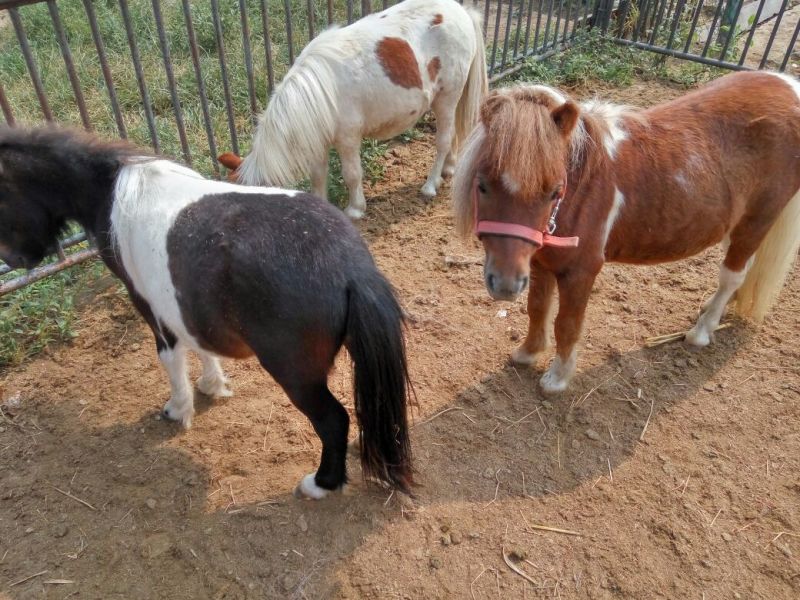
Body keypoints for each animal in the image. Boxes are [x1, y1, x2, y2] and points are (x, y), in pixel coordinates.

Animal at [0, 126, 413, 498]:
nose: (15, 262)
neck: (114, 193)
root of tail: (348, 267)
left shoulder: (150, 307)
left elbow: (170, 358)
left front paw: (178, 409)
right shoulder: (188, 306)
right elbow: (201, 344)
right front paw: (213, 385)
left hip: (296, 375)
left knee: (333, 421)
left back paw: (320, 485)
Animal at [217, 0, 487, 219]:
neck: (319, 91)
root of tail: (461, 11)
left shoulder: (347, 138)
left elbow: (352, 174)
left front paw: (356, 209)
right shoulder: (319, 140)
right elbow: (318, 176)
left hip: (446, 98)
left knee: (443, 140)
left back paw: (431, 185)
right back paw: (449, 168)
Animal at [453, 71, 800, 394]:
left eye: (554, 192)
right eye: (482, 185)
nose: (505, 285)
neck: (582, 186)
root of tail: (789, 86)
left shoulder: (581, 271)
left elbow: (567, 324)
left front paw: (557, 379)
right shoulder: (539, 263)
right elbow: (537, 308)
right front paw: (527, 353)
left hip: (759, 219)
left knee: (732, 275)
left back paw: (702, 331)